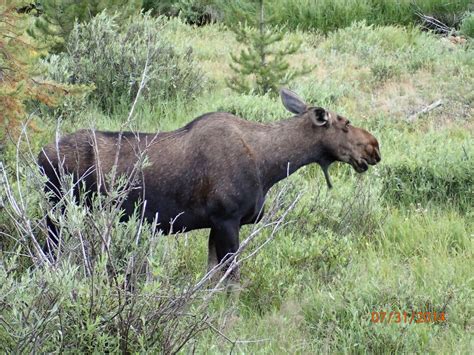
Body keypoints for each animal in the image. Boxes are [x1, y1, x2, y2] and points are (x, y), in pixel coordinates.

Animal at [39, 88, 382, 278]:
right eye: (345, 124)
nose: (374, 147)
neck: (268, 166)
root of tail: (39, 156)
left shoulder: (216, 225)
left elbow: (211, 279)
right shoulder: (226, 219)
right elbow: (231, 280)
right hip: (57, 215)